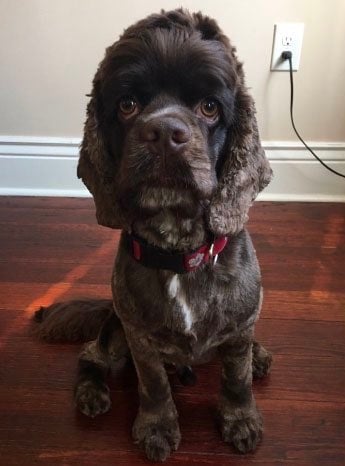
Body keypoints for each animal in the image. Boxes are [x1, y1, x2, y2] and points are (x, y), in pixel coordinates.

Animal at [34, 8, 272, 462]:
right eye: (127, 104)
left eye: (210, 107)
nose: (164, 134)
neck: (180, 253)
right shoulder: (139, 338)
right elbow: (155, 384)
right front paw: (157, 428)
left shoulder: (240, 325)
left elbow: (236, 378)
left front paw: (240, 419)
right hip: (115, 332)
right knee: (91, 355)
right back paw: (90, 394)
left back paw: (260, 354)